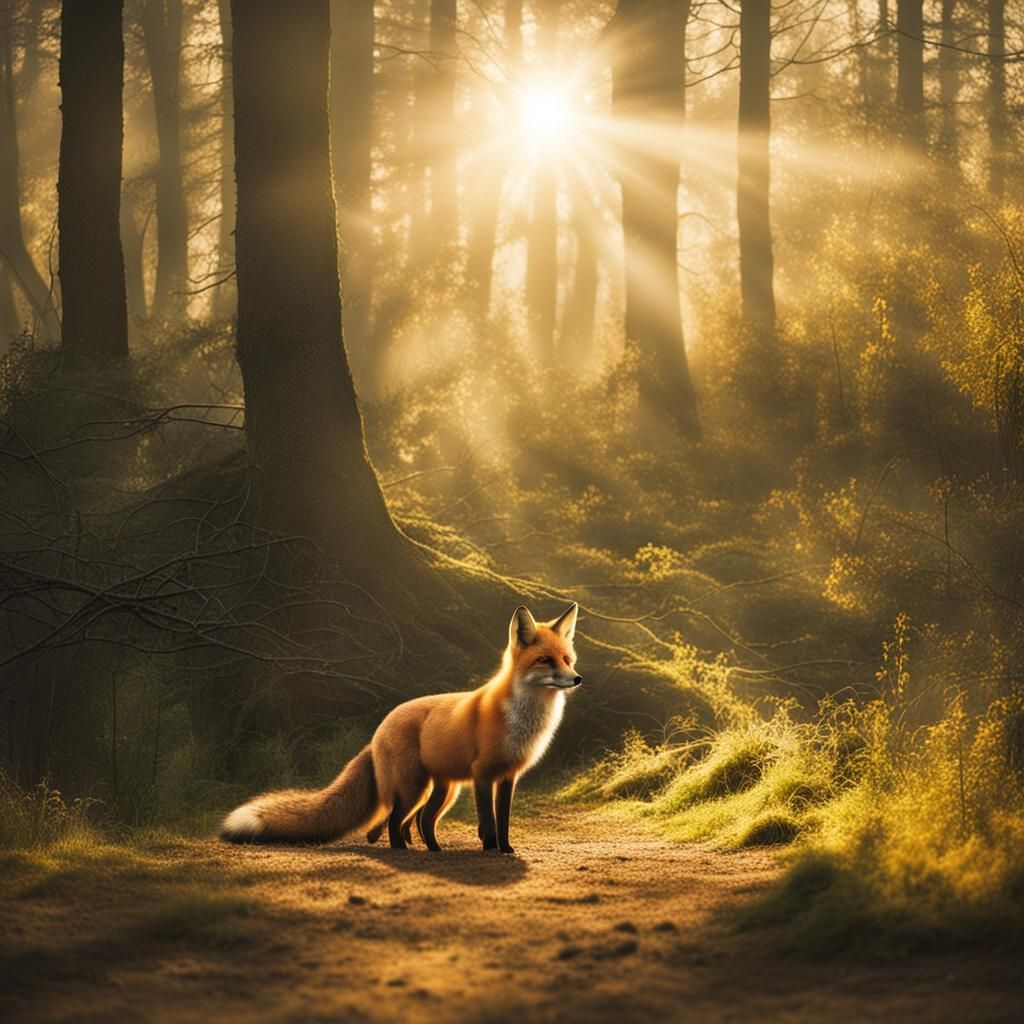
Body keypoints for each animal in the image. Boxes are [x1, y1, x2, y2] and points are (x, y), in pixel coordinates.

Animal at [219, 603, 581, 853]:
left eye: (568, 659)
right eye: (545, 660)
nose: (577, 679)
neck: (523, 719)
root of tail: (378, 730)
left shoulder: (507, 776)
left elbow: (503, 820)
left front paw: (505, 849)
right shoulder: (482, 774)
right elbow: (488, 821)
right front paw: (490, 848)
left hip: (440, 789)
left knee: (420, 821)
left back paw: (432, 850)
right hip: (414, 787)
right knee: (397, 820)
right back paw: (400, 849)